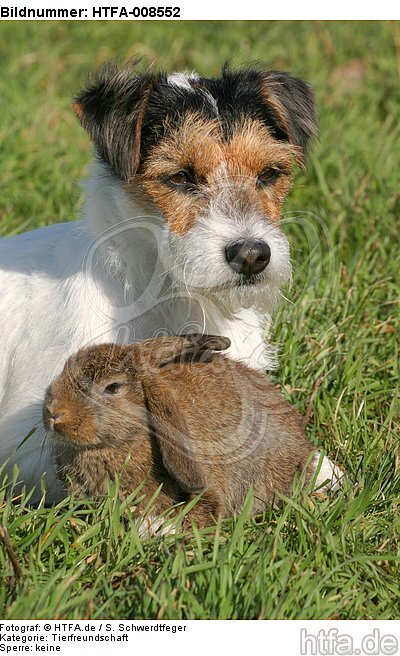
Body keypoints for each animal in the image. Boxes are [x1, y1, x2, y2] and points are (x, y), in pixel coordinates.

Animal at [0, 62, 340, 502]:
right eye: (179, 177)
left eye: (269, 174)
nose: (252, 255)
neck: (167, 293)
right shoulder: (23, 446)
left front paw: (319, 470)